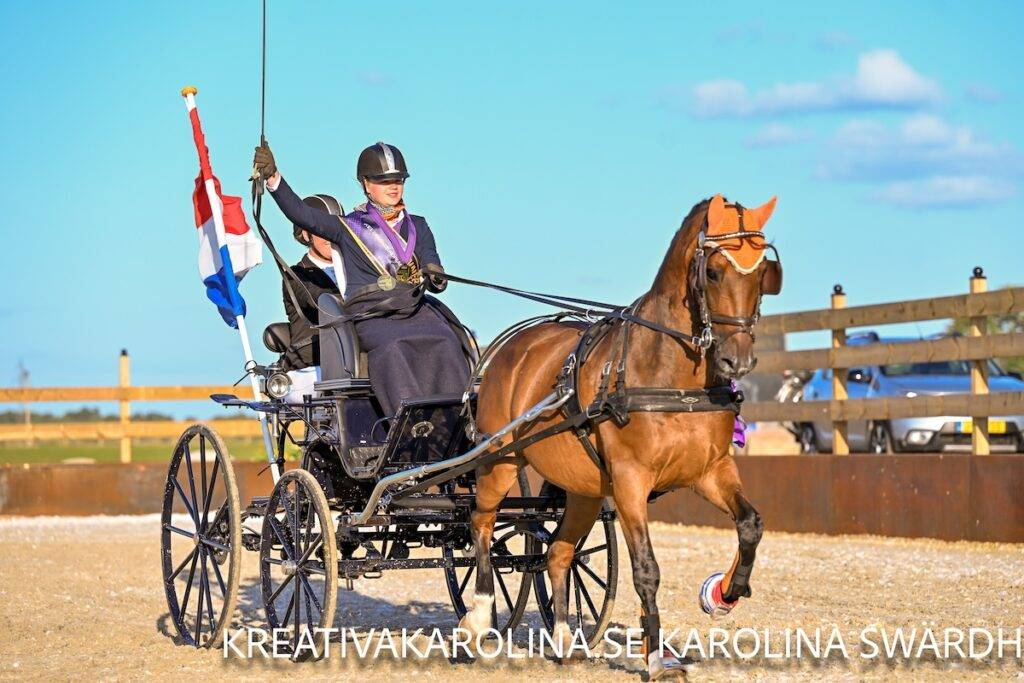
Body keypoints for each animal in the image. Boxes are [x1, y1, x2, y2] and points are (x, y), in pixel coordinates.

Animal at [458, 193, 782, 679]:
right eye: (713, 271)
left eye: (763, 273)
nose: (737, 360)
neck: (667, 375)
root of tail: (513, 347)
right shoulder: (631, 481)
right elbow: (646, 569)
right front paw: (657, 658)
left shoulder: (710, 470)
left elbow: (751, 524)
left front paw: (725, 592)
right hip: (500, 460)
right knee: (481, 523)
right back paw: (479, 618)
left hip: (584, 490)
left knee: (558, 552)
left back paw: (566, 638)